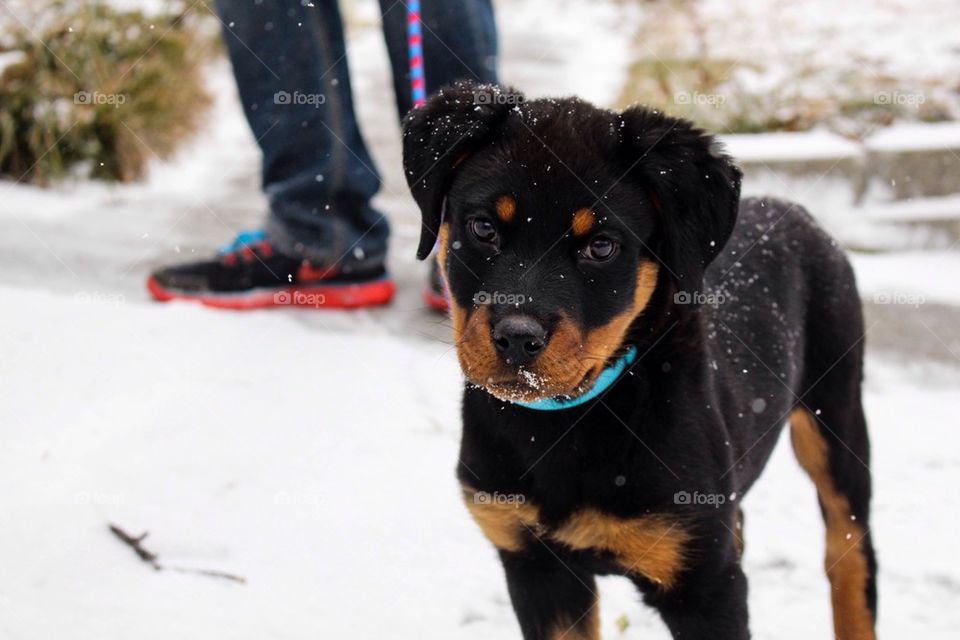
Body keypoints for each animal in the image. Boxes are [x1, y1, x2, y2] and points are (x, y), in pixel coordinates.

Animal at [404, 81, 876, 640]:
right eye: (482, 228)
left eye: (601, 247)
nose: (517, 338)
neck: (570, 420)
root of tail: (798, 212)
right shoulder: (535, 564)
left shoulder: (705, 586)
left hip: (837, 416)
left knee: (850, 556)